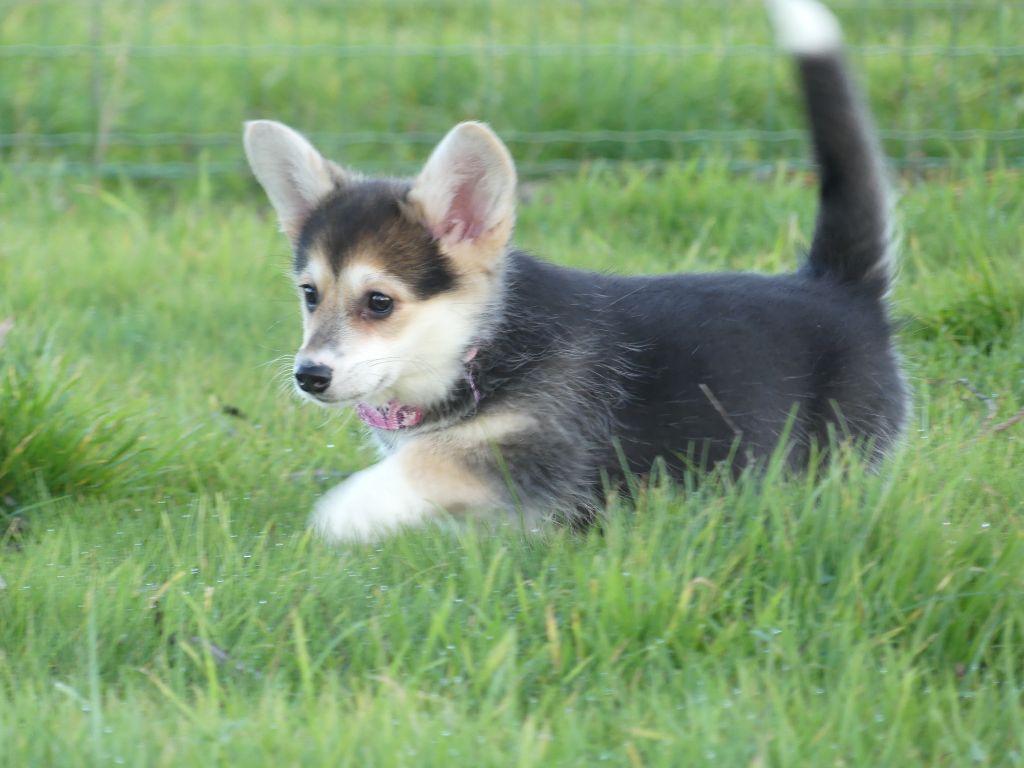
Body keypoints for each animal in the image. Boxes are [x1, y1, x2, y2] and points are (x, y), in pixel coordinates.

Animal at [243, 0, 909, 544]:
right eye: (310, 294)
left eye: (379, 302)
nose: (309, 376)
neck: (480, 347)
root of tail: (836, 285)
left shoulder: (544, 447)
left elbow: (433, 461)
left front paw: (348, 510)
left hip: (838, 448)